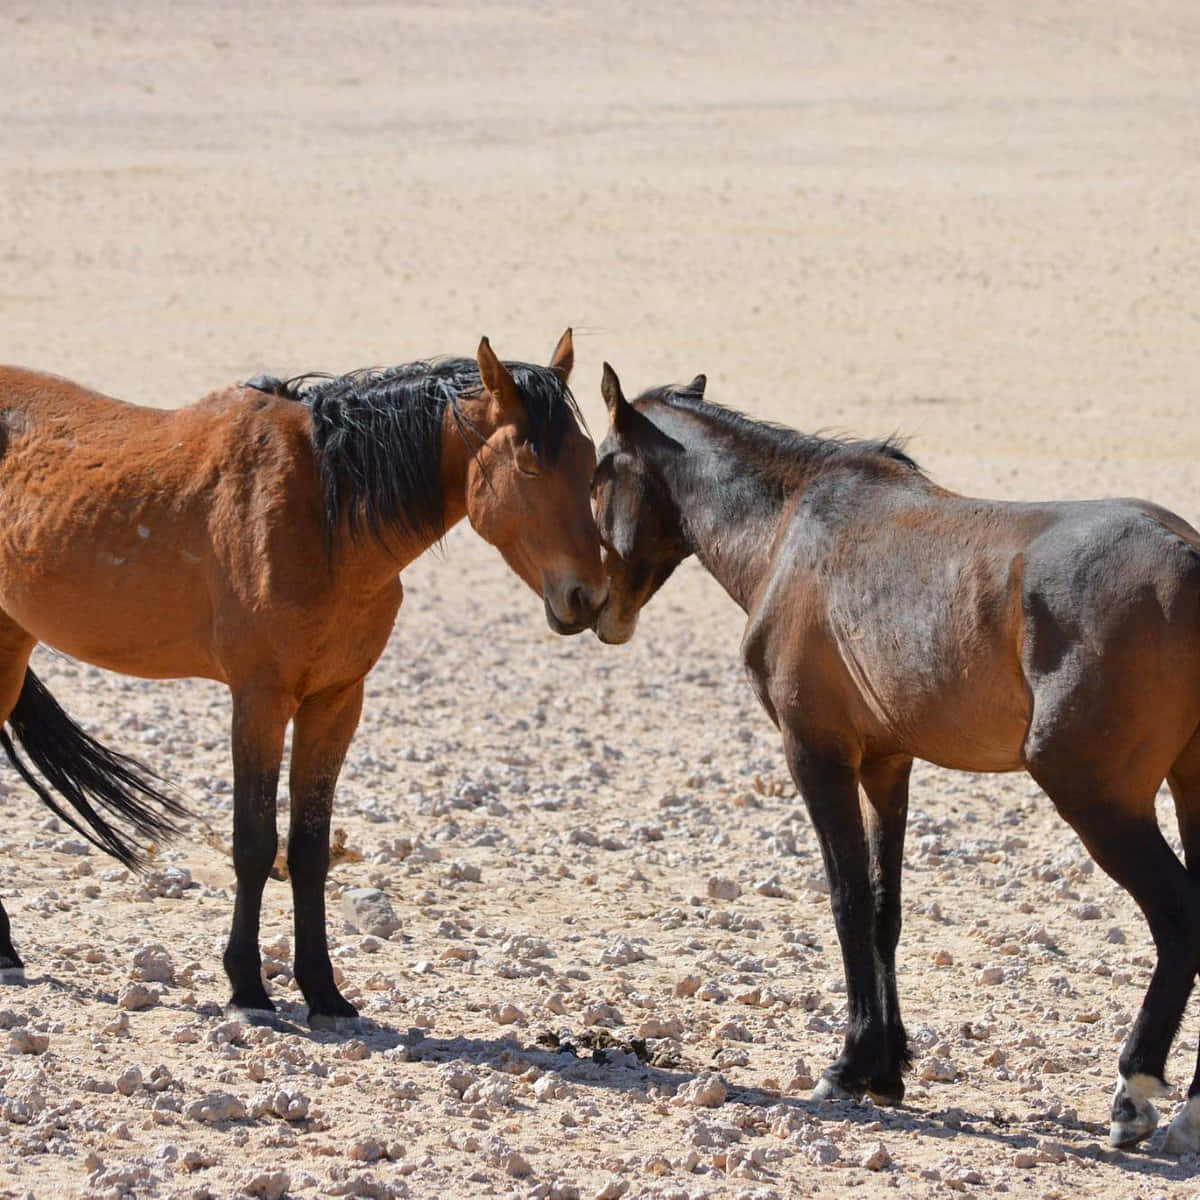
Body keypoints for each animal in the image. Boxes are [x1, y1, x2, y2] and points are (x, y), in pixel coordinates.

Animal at [0, 330, 606, 1027]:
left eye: (591, 461)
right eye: (530, 467)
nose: (587, 597)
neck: (324, 512)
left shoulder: (335, 702)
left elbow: (311, 849)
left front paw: (324, 991)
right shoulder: (260, 700)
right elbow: (255, 841)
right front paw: (247, 987)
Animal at [589, 362, 1200, 1154]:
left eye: (599, 470)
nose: (592, 607)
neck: (789, 528)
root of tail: (1190, 560)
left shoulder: (816, 754)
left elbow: (847, 900)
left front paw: (848, 1066)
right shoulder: (886, 763)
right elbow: (885, 908)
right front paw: (888, 1069)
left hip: (1098, 798)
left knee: (1179, 916)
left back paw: (1138, 1094)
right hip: (1189, 785)